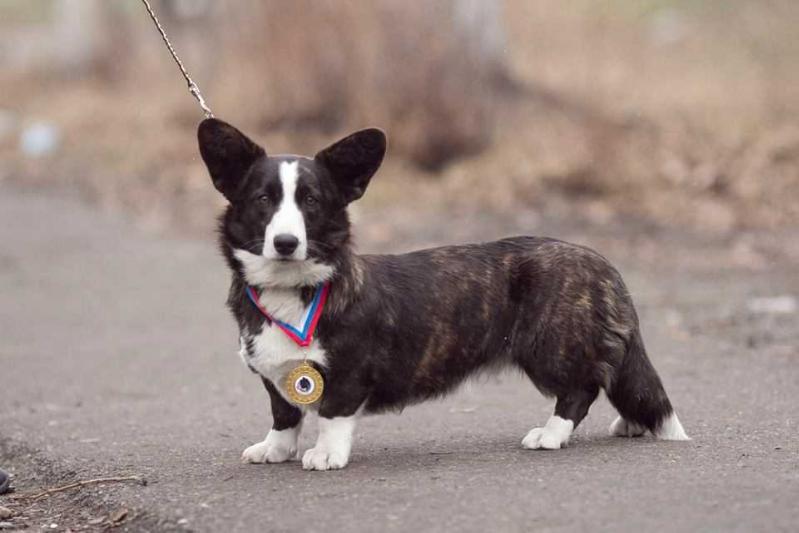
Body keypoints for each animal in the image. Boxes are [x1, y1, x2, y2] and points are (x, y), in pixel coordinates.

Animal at [198, 119, 688, 470]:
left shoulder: (349, 372)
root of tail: (601, 262)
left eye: (312, 202)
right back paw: (629, 424)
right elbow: (284, 414)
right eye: (263, 199)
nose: (285, 243)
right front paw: (274, 450)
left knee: (582, 387)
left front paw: (326, 455)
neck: (293, 289)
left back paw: (550, 434)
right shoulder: (278, 379)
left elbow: (333, 414)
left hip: (550, 348)